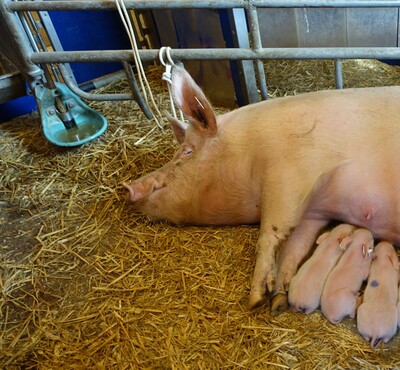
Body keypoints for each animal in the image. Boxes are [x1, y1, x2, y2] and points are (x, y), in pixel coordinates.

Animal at [122, 65, 400, 314]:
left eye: (187, 151)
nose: (128, 187)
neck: (247, 150)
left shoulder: (289, 176)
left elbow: (269, 234)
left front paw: (255, 300)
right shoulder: (314, 210)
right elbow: (293, 247)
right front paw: (278, 300)